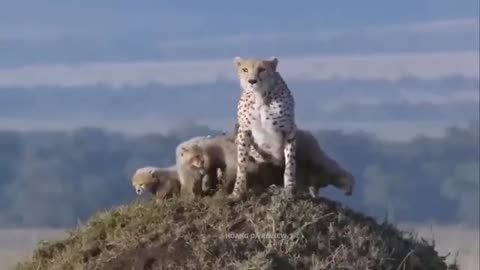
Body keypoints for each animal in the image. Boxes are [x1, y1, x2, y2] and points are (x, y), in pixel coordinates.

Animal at [230, 56, 294, 200]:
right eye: (245, 69)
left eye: (262, 69)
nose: (252, 81)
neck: (260, 97)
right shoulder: (244, 131)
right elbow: (241, 163)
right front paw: (237, 192)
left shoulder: (289, 130)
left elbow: (290, 163)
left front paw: (289, 189)